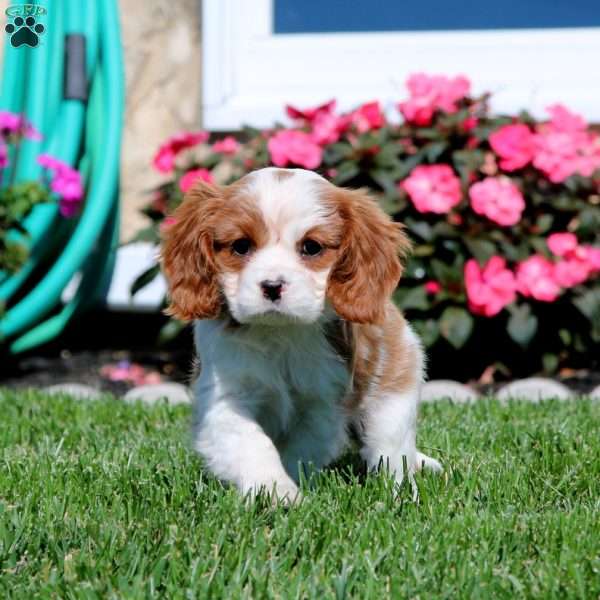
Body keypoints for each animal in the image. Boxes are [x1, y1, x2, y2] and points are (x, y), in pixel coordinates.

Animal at [162, 166, 442, 504]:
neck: (280, 334)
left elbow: (299, 450)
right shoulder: (226, 397)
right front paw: (275, 490)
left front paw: (286, 490)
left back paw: (400, 492)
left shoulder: (321, 405)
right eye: (241, 246)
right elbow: (252, 444)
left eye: (311, 247)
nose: (272, 285)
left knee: (392, 452)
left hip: (395, 391)